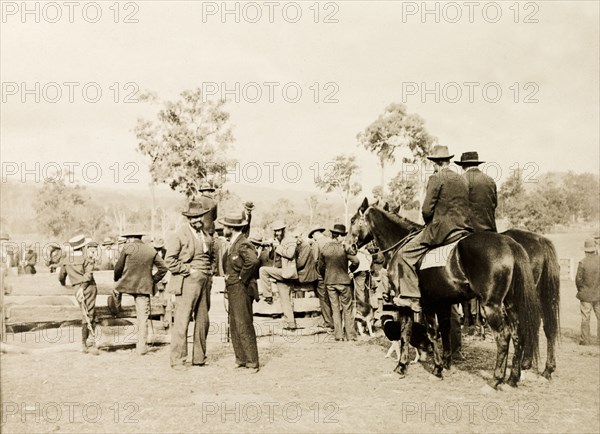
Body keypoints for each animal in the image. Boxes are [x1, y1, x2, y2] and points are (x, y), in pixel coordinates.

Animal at [350, 198, 540, 388]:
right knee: (517, 334)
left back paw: (496, 379)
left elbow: (413, 332)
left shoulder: (414, 304)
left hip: (491, 305)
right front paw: (446, 363)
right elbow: (445, 330)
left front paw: (411, 367)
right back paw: (513, 378)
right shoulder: (442, 303)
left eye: (352, 221)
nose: (348, 247)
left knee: (503, 336)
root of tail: (509, 243)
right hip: (511, 304)